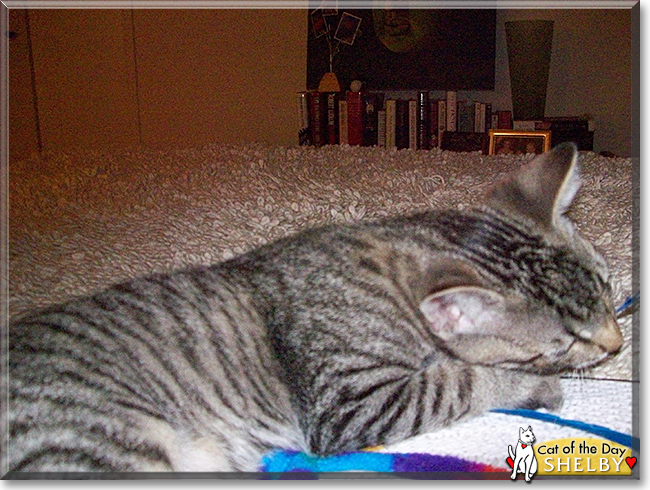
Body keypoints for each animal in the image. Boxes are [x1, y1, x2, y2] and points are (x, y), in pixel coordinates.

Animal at [8, 144, 616, 472]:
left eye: (610, 288)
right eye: (565, 342)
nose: (617, 342)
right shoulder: (352, 404)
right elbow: (461, 379)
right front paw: (532, 386)